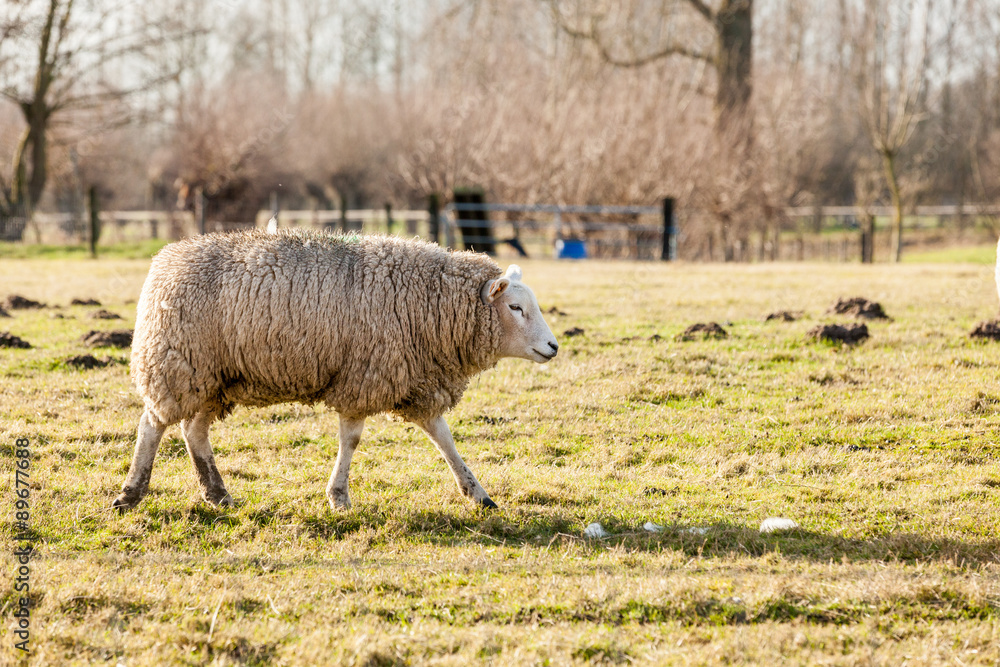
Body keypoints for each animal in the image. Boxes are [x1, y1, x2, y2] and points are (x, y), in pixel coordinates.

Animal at [112, 230, 558, 512]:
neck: (429, 305)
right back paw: (131, 493)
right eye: (515, 307)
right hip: (177, 364)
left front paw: (479, 494)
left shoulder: (415, 380)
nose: (554, 347)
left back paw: (217, 493)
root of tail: (166, 259)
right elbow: (353, 440)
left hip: (213, 377)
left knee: (194, 431)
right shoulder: (364, 374)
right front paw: (339, 497)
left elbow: (444, 439)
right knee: (153, 425)